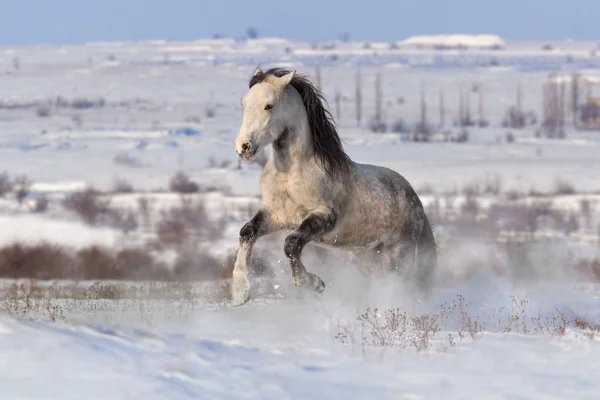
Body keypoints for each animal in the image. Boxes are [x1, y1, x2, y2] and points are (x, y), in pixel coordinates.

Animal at [230, 66, 436, 306]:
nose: (243, 147)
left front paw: (314, 283)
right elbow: (247, 232)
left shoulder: (324, 216)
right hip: (366, 257)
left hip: (397, 255)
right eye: (244, 103)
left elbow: (291, 243)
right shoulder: (275, 215)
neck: (292, 174)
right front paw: (240, 294)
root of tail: (416, 201)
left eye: (269, 105)